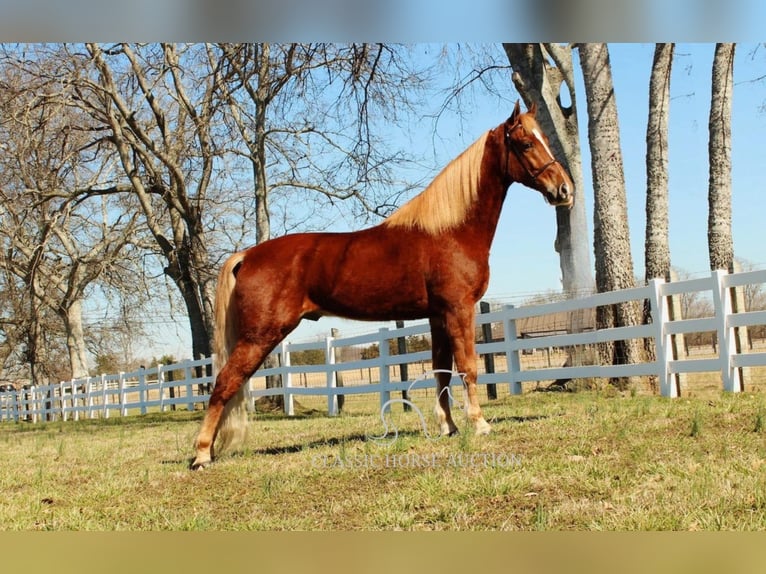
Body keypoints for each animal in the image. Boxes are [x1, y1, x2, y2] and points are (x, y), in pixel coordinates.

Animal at [192, 101, 576, 470]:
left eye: (544, 138)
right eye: (526, 143)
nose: (564, 190)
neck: (450, 230)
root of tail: (248, 254)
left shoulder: (438, 316)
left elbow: (441, 369)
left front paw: (448, 427)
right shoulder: (459, 309)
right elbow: (468, 365)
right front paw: (479, 424)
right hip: (259, 336)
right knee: (224, 383)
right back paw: (201, 455)